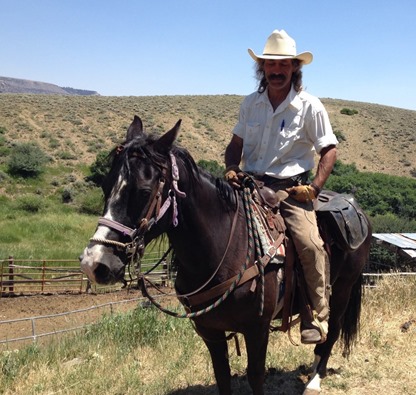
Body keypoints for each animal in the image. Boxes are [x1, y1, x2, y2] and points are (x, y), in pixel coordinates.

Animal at [79, 117, 372, 395]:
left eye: (143, 191)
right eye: (105, 186)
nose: (95, 263)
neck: (222, 252)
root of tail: (358, 211)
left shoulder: (257, 330)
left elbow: (256, 377)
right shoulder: (210, 332)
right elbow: (222, 376)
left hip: (342, 289)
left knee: (332, 331)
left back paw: (314, 379)